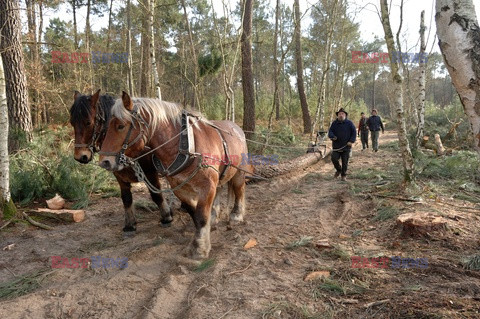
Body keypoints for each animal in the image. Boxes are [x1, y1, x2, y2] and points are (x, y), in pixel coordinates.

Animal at [96, 92, 249, 260]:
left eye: (121, 126)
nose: (104, 162)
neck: (186, 147)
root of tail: (237, 128)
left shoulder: (207, 186)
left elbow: (201, 216)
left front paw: (200, 248)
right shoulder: (179, 188)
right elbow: (193, 212)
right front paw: (202, 233)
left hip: (239, 171)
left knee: (239, 190)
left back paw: (236, 215)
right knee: (220, 190)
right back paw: (215, 215)